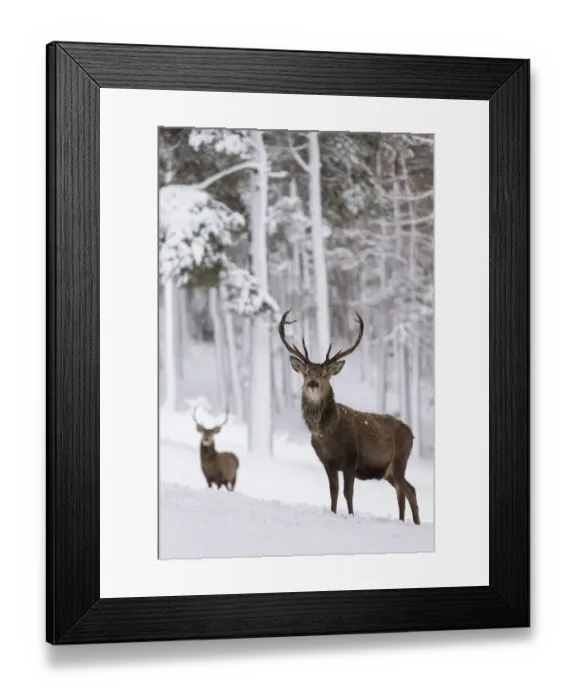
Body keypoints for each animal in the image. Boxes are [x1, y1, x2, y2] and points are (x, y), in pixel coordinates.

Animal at [278, 309, 420, 525]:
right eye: (306, 372)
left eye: (325, 374)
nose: (312, 383)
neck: (326, 433)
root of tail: (411, 433)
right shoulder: (327, 462)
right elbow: (334, 492)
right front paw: (333, 512)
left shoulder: (351, 458)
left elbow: (348, 492)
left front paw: (351, 515)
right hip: (388, 470)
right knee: (410, 489)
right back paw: (414, 521)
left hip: (400, 460)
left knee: (402, 492)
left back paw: (403, 521)